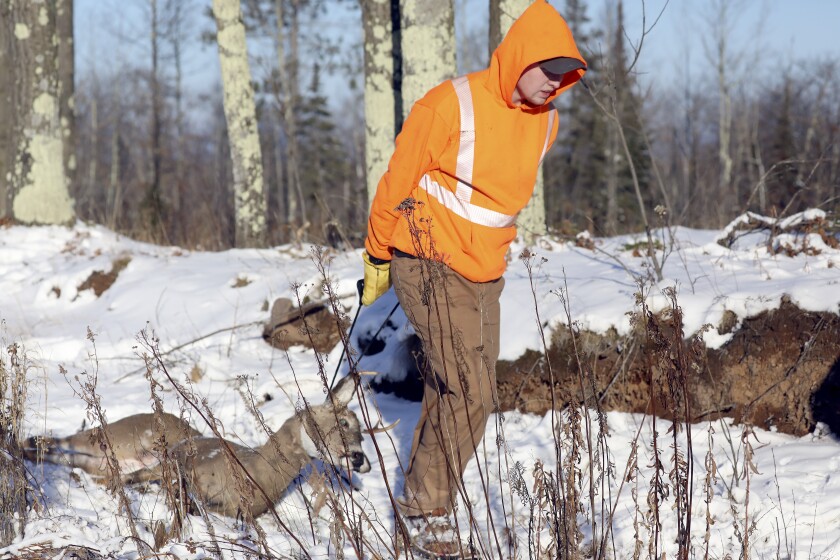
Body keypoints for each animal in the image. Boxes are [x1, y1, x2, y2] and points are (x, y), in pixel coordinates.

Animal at [23, 412, 201, 476]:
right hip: (109, 441)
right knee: (67, 441)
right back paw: (27, 442)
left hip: (100, 463)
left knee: (68, 458)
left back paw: (29, 451)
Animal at [120, 374, 378, 520]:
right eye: (344, 422)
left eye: (362, 437)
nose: (360, 460)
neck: (257, 473)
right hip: (171, 460)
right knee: (139, 475)